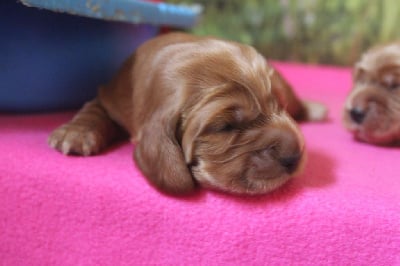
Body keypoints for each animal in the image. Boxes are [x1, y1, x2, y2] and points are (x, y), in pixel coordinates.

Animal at [48, 33, 326, 195]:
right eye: (226, 127)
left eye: (279, 106)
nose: (295, 156)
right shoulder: (112, 96)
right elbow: (94, 109)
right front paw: (75, 133)